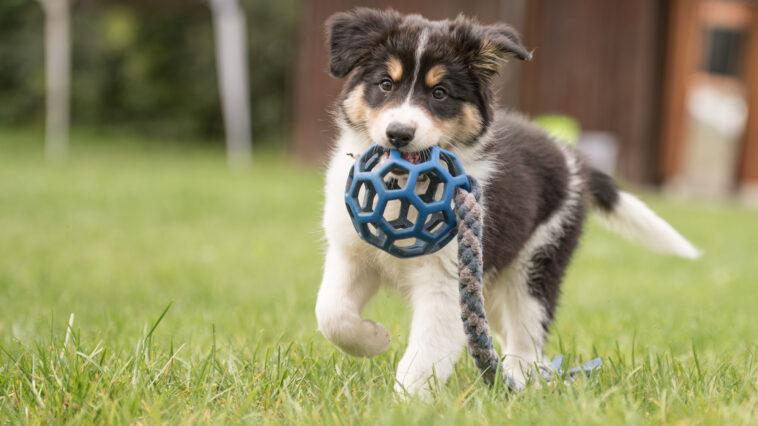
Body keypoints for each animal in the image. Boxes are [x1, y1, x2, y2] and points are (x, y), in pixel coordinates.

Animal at [315, 8, 700, 397]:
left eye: (440, 93)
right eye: (385, 84)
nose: (399, 134)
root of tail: (572, 158)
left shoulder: (445, 281)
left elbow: (424, 355)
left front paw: (406, 400)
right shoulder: (351, 252)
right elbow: (331, 313)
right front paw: (375, 339)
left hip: (536, 264)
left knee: (526, 338)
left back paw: (520, 382)